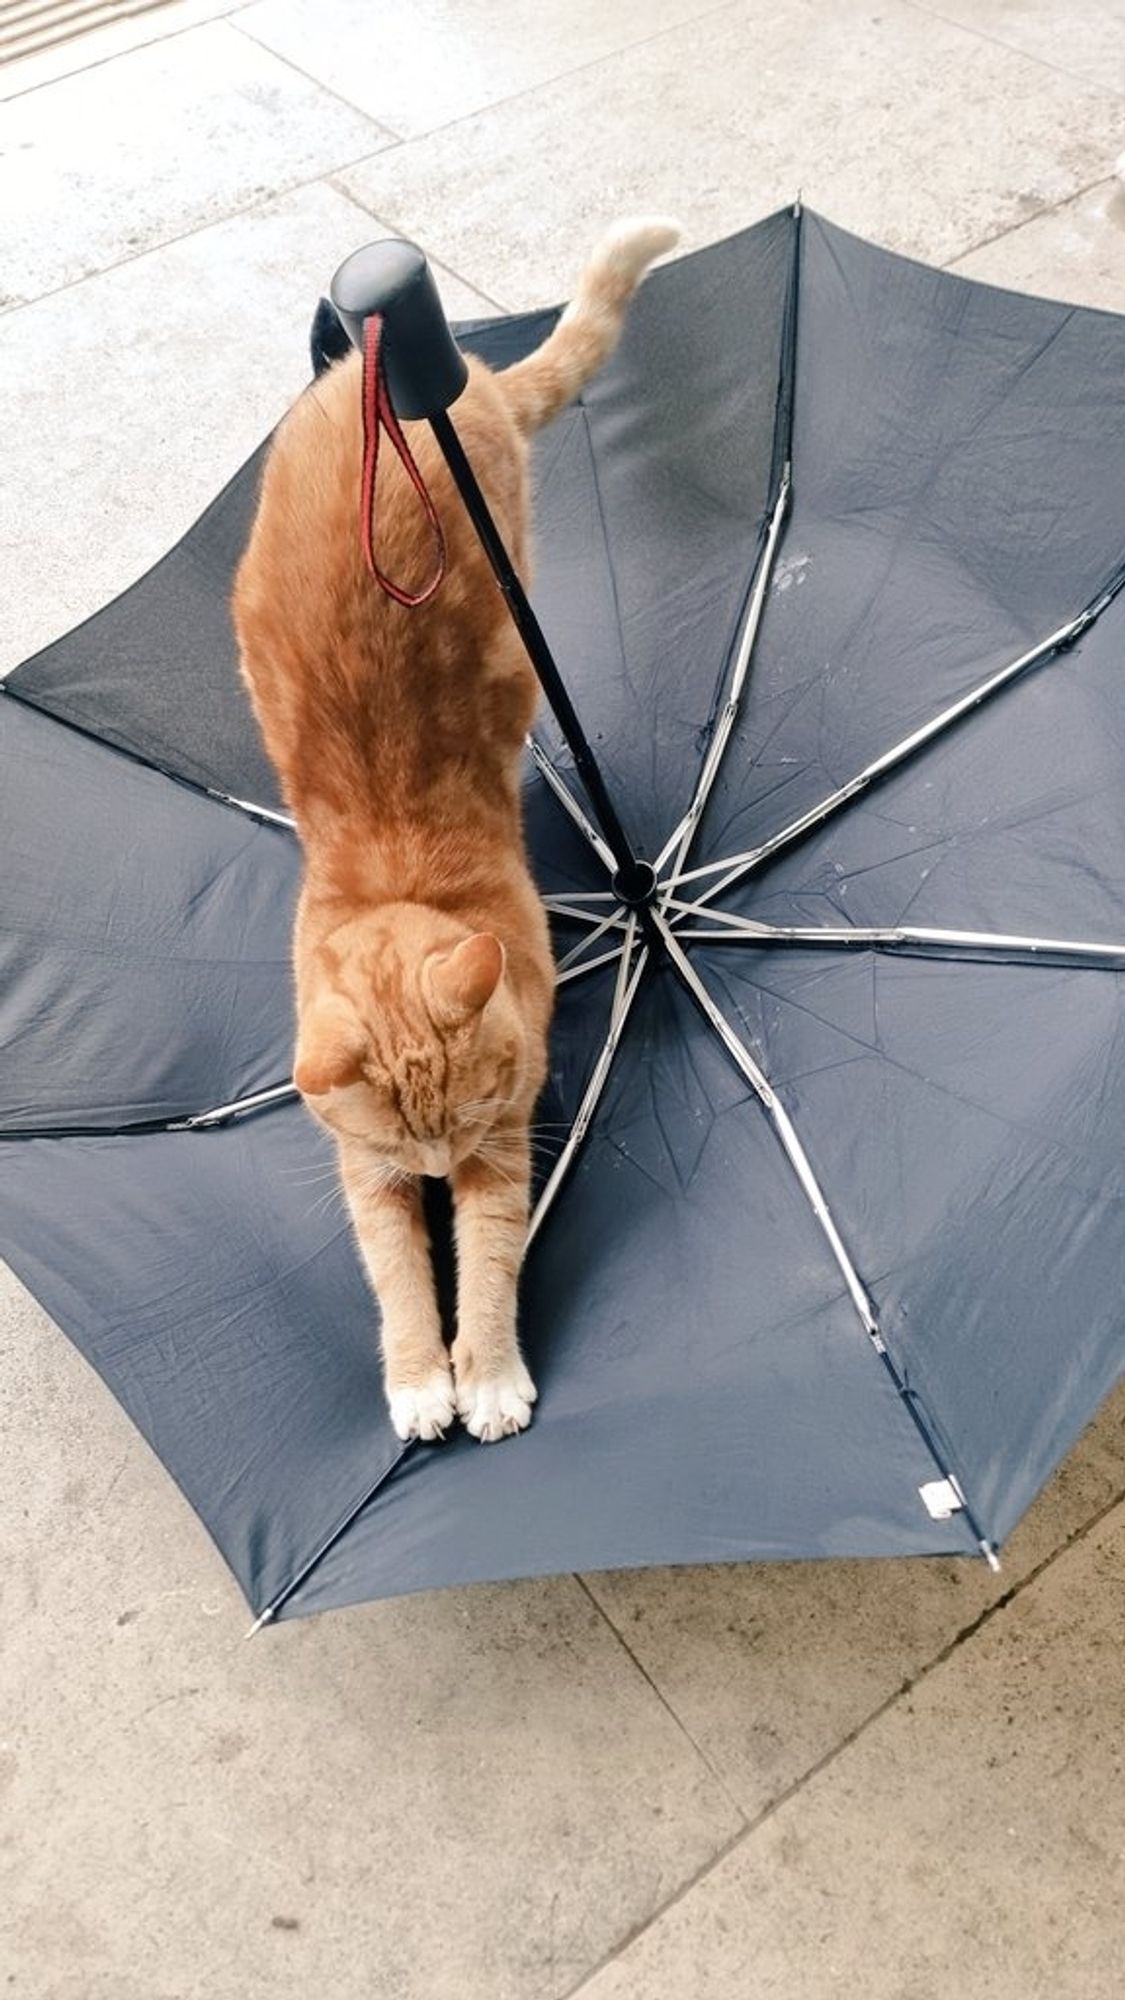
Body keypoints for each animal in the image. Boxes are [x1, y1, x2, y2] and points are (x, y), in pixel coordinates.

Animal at [232, 215, 672, 1440]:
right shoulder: (365, 1176)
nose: (433, 1167)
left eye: (458, 1123)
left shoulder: (502, 1137)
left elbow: (486, 1261)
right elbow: (394, 1273)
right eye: (398, 1143)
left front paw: (483, 1371)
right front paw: (420, 1374)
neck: (395, 888)